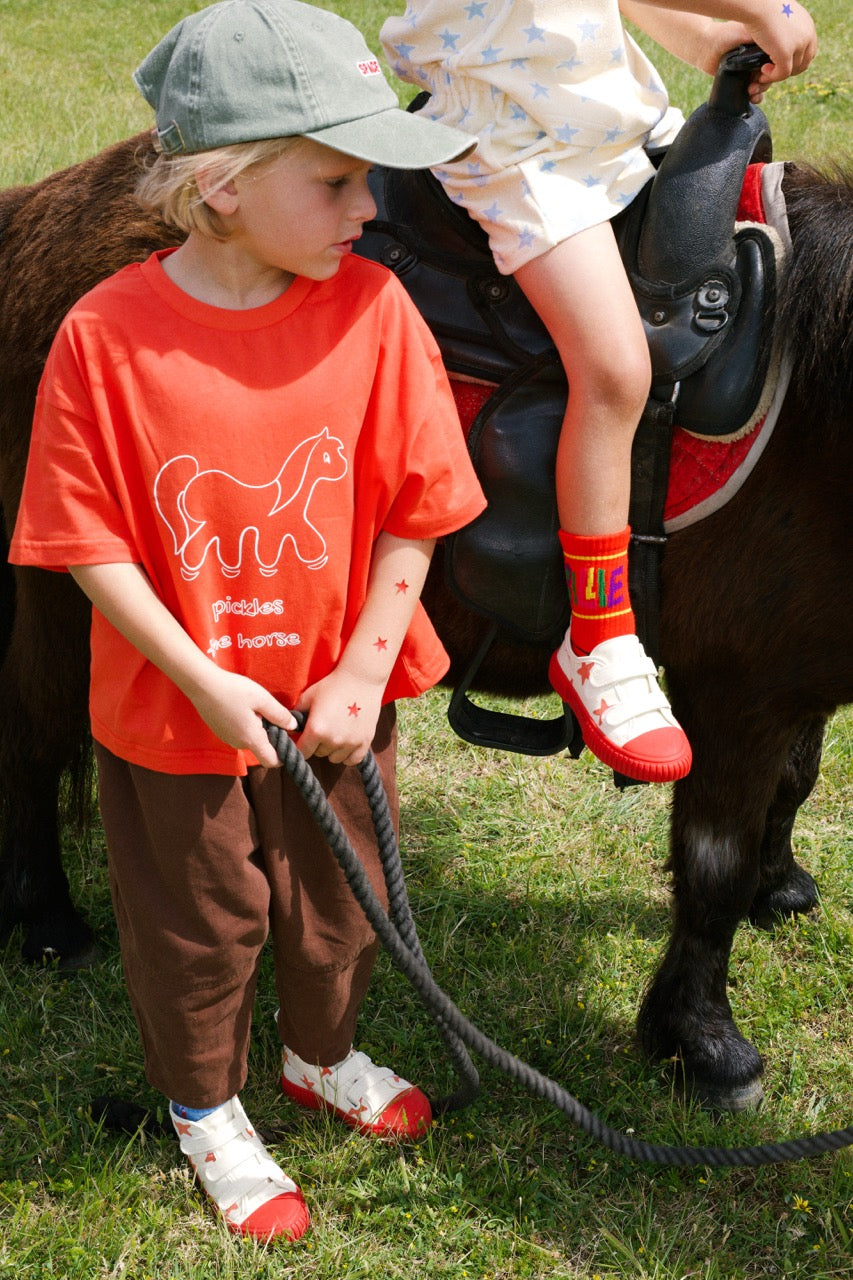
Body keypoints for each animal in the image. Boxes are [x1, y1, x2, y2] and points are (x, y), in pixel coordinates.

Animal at [0, 132, 845, 1111]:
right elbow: (713, 866)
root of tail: (48, 206)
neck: (814, 409)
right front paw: (702, 1042)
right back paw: (47, 919)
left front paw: (780, 889)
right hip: (68, 594)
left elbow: (795, 785)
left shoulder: (798, 674)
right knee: (32, 735)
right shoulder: (737, 693)